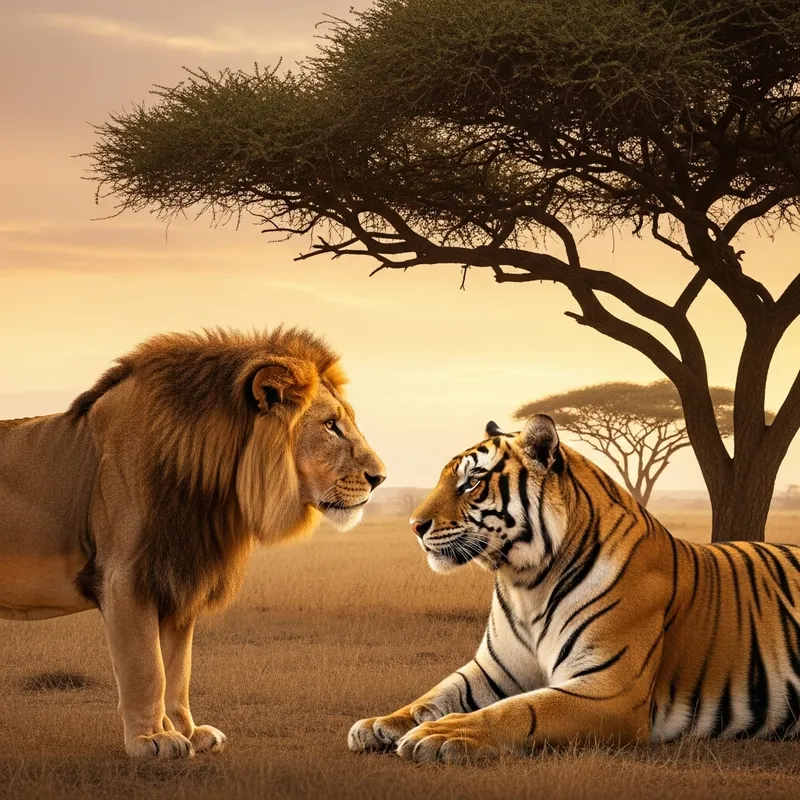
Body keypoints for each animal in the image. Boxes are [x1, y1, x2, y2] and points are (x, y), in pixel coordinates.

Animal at [0, 327, 385, 759]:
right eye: (331, 425)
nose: (380, 477)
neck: (212, 490)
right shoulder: (125, 579)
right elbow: (146, 669)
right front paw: (150, 740)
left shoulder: (181, 579)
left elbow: (177, 671)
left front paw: (188, 732)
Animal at [348, 415, 800, 763]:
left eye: (472, 483)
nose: (414, 526)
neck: (525, 582)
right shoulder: (493, 670)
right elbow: (432, 696)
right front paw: (379, 724)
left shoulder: (608, 690)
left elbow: (520, 710)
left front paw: (440, 734)